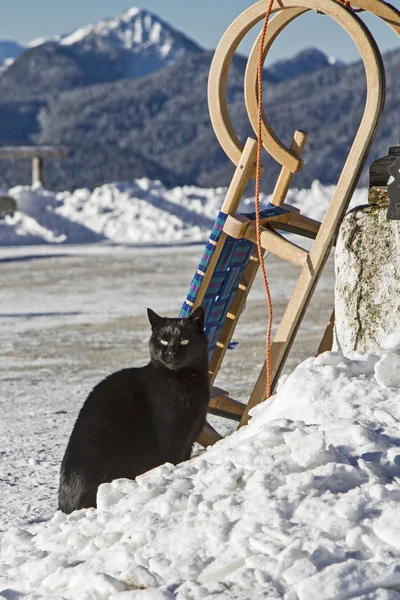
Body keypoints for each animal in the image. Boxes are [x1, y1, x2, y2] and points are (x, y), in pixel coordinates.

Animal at [59, 308, 211, 512]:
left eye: (185, 340)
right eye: (163, 340)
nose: (171, 352)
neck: (184, 380)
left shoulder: (190, 436)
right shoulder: (173, 439)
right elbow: (173, 458)